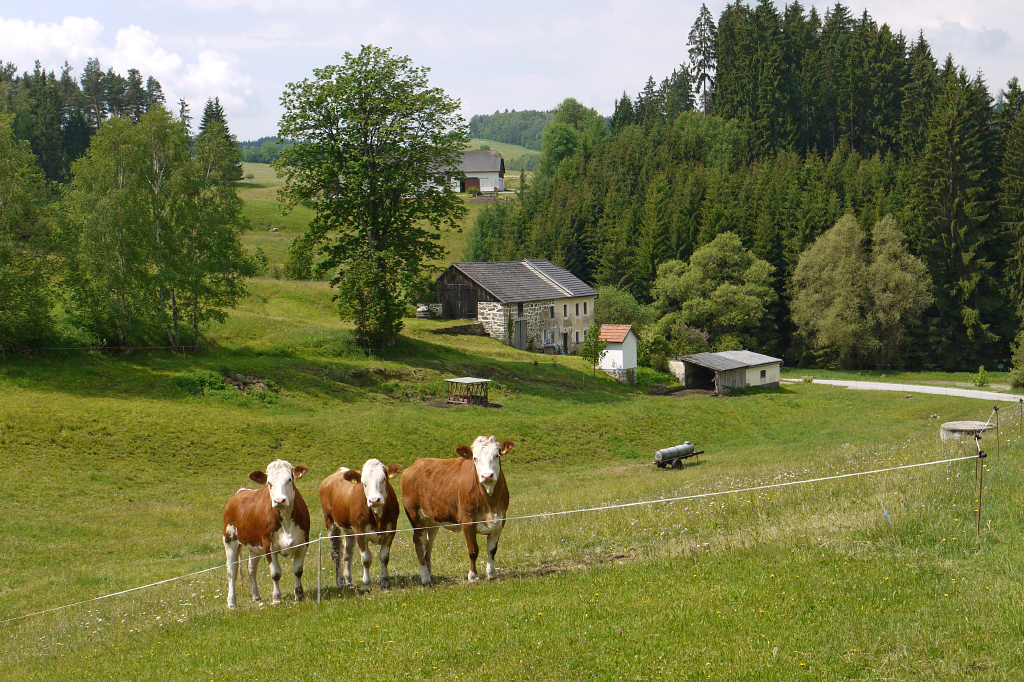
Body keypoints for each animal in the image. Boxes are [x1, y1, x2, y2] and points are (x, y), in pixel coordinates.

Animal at [220, 456, 307, 606]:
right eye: (269, 483)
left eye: (289, 479)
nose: (279, 500)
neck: (286, 521)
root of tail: (242, 491)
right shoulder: (268, 546)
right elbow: (275, 574)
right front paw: (276, 598)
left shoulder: (303, 543)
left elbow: (298, 571)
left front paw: (299, 595)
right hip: (230, 540)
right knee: (232, 570)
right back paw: (231, 603)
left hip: (254, 546)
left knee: (251, 568)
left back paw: (256, 596)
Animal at [317, 458, 401, 593]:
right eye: (363, 483)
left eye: (384, 478)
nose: (374, 500)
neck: (378, 518)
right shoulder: (360, 533)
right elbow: (366, 559)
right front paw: (366, 584)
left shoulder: (391, 531)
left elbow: (384, 557)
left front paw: (385, 582)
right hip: (330, 523)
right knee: (336, 553)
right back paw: (340, 582)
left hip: (350, 530)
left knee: (347, 553)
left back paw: (348, 581)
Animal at [399, 436, 512, 585]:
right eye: (474, 458)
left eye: (497, 455)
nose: (487, 476)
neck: (490, 506)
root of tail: (416, 463)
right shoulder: (467, 521)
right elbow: (473, 551)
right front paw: (472, 576)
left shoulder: (500, 520)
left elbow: (492, 550)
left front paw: (491, 574)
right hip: (415, 515)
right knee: (419, 543)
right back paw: (425, 578)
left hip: (432, 520)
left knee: (428, 546)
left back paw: (430, 575)